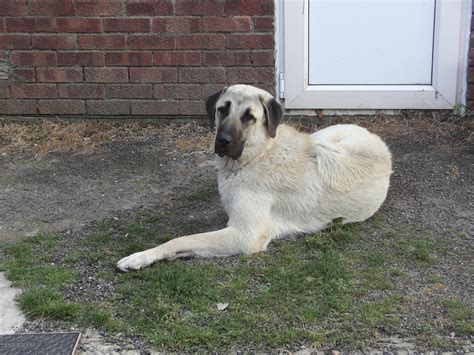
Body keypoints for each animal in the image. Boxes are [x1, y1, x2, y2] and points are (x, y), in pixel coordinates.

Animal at [116, 84, 390, 272]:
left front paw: (142, 256)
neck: (258, 154)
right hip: (322, 136)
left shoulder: (245, 235)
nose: (222, 141)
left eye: (249, 116)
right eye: (222, 110)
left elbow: (180, 239)